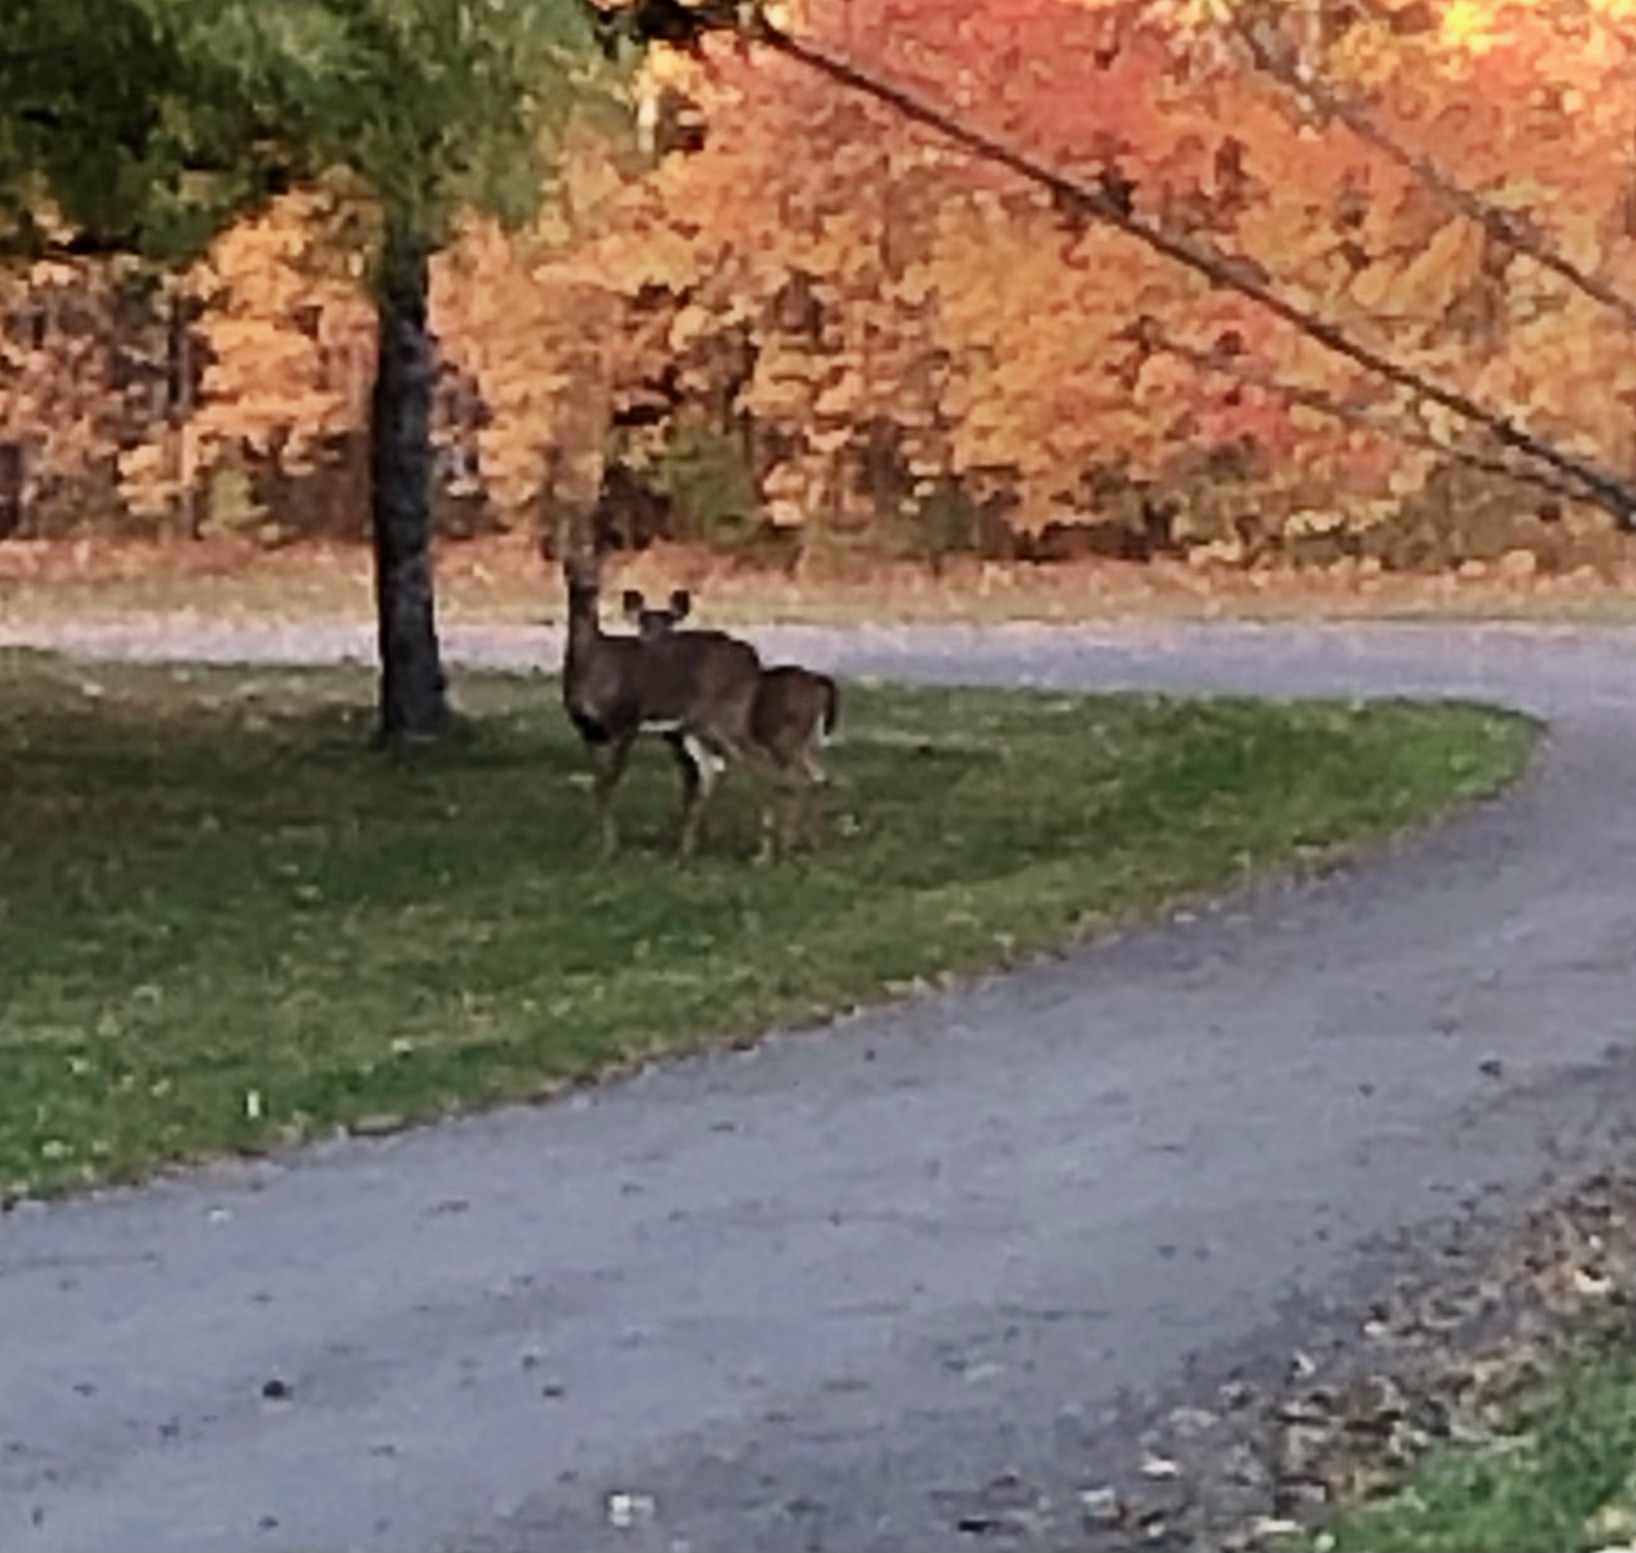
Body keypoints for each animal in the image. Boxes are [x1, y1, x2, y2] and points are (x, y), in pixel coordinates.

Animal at [559, 547, 776, 861]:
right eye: (568, 567)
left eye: (600, 568)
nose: (589, 587)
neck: (593, 663)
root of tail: (754, 661)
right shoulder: (588, 730)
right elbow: (599, 785)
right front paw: (599, 846)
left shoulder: (627, 718)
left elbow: (610, 781)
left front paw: (611, 849)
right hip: (693, 727)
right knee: (710, 770)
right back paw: (687, 849)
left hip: (727, 714)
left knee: (757, 757)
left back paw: (764, 853)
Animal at [623, 586, 840, 859]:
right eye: (641, 623)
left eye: (670, 623)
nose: (651, 643)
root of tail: (822, 684)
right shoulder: (694, 742)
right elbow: (701, 787)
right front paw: (694, 844)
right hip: (803, 744)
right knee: (818, 777)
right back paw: (812, 843)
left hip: (781, 740)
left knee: (795, 780)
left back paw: (784, 845)